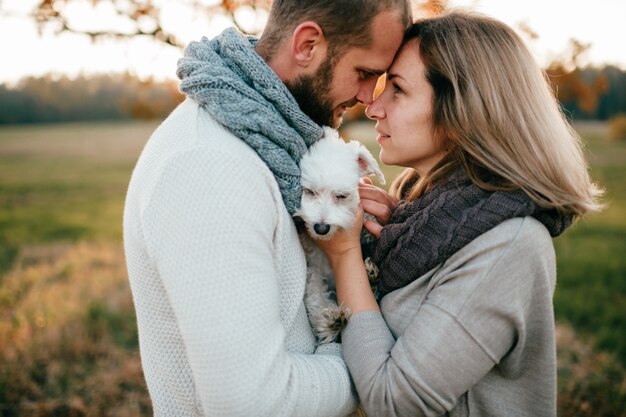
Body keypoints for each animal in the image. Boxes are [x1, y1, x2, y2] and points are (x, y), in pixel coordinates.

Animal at [294, 127, 386, 342]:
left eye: (341, 196)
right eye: (310, 192)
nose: (321, 228)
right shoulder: (312, 267)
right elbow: (314, 293)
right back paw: (330, 320)